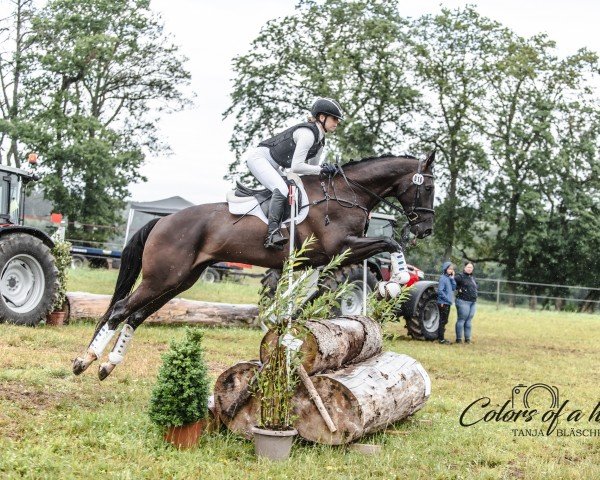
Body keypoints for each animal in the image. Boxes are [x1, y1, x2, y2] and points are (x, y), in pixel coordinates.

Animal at [74, 153, 436, 378]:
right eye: (429, 187)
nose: (425, 230)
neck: (348, 193)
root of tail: (163, 220)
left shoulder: (331, 257)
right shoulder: (342, 248)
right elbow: (390, 244)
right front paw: (395, 281)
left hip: (179, 280)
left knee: (135, 316)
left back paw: (108, 364)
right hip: (161, 278)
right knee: (120, 309)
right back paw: (85, 360)